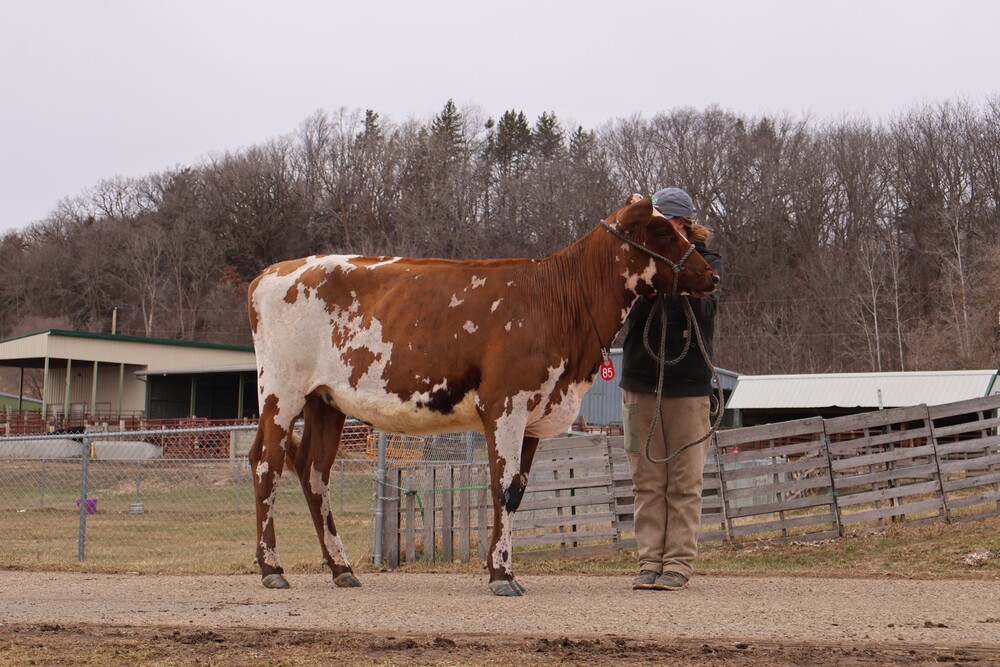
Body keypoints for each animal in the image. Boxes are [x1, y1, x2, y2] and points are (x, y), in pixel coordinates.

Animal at [247, 194, 720, 596]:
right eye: (661, 232)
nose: (712, 275)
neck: (560, 302)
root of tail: (270, 273)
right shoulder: (506, 405)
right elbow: (504, 488)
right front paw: (502, 575)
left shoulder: (535, 414)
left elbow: (520, 490)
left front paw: (501, 567)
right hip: (281, 391)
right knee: (267, 463)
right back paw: (272, 569)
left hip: (324, 400)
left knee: (313, 471)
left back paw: (341, 568)